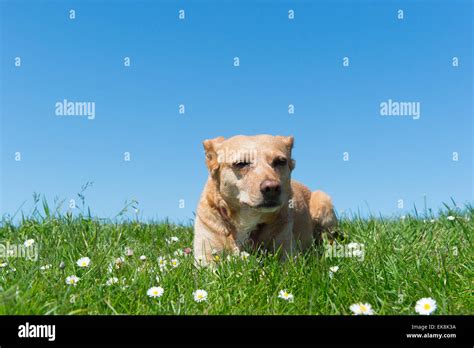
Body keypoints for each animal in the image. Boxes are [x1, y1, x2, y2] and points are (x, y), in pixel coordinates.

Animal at [193, 135, 336, 266]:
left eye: (280, 161)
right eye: (241, 163)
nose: (272, 188)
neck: (247, 221)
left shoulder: (287, 254)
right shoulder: (204, 256)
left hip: (323, 204)